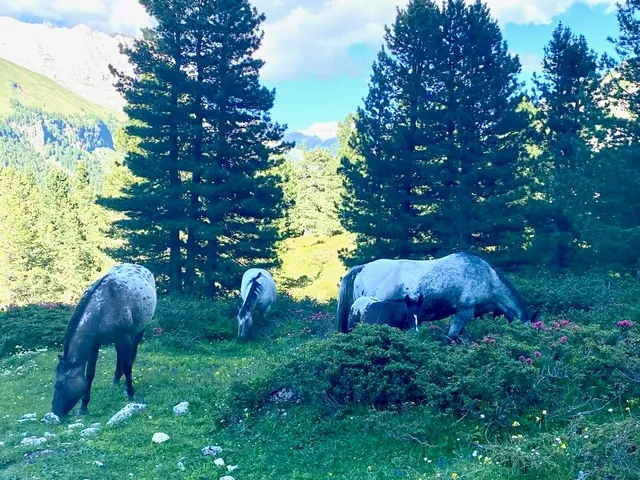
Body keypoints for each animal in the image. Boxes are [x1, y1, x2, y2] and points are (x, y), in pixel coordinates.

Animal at [51, 263, 157, 417]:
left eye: (59, 384)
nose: (55, 412)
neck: (103, 307)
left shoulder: (124, 337)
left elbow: (127, 365)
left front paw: (131, 393)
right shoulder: (95, 344)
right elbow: (90, 373)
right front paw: (83, 407)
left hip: (138, 331)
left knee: (131, 355)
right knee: (120, 356)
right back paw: (116, 380)